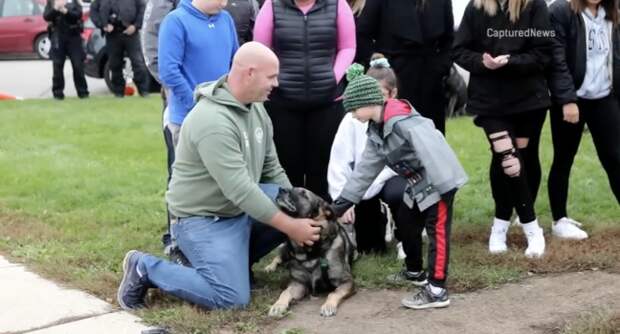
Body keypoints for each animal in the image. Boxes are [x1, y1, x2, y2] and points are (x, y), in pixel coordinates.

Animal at [268, 188, 358, 316]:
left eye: (304, 193)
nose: (281, 189)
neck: (312, 253)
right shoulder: (298, 283)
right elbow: (285, 292)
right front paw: (278, 305)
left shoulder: (347, 281)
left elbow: (333, 293)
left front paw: (328, 305)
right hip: (287, 251)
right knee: (278, 257)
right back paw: (270, 267)